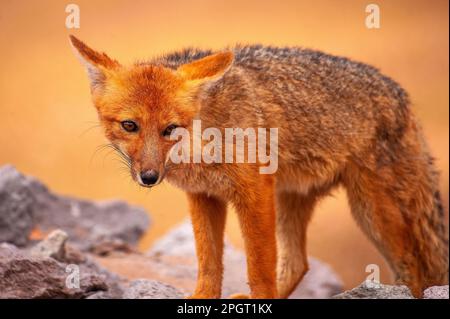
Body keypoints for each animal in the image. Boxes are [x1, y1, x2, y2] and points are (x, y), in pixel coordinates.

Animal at [68, 36, 448, 298]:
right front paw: (202, 296)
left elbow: (259, 265)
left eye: (170, 129)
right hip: (293, 200)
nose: (149, 177)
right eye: (129, 125)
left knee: (413, 268)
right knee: (299, 263)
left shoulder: (254, 193)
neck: (207, 140)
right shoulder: (204, 196)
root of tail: (402, 95)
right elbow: (209, 264)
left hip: (372, 213)